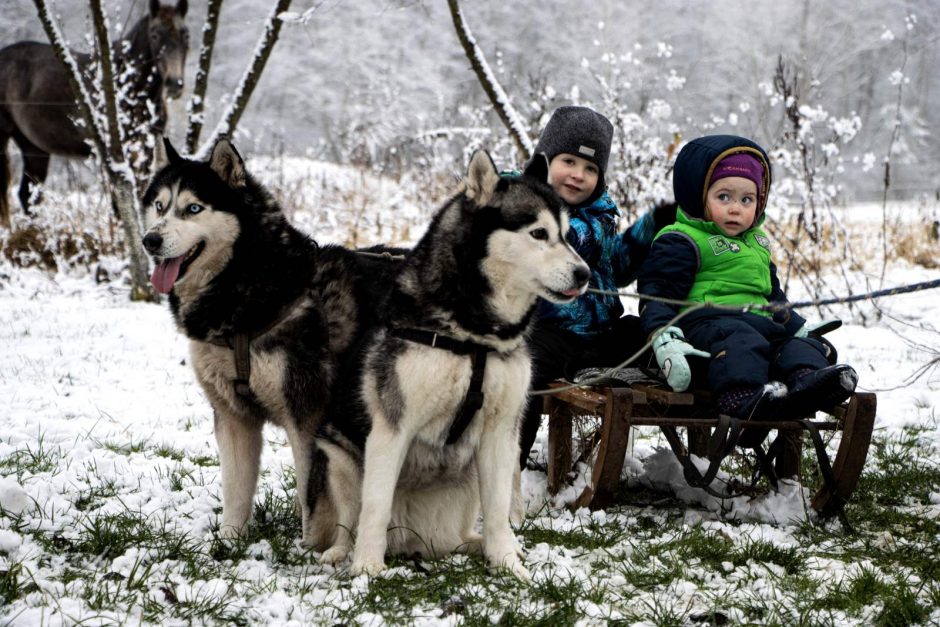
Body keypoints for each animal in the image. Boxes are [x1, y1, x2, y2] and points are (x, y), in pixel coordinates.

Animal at [0, 0, 189, 226]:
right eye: (154, 34)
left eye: (185, 34)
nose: (175, 84)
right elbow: (120, 208)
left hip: (33, 147)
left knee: (28, 196)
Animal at [140, 140, 392, 544]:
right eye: (161, 206)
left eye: (193, 208)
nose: (151, 241)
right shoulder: (233, 417)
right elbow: (235, 491)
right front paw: (228, 542)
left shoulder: (306, 419)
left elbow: (311, 496)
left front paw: (309, 549)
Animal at [312, 151, 592, 580]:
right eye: (538, 233)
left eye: (566, 235)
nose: (585, 273)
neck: (474, 335)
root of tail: (409, 540)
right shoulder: (391, 430)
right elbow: (375, 506)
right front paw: (367, 569)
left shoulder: (500, 433)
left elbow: (498, 514)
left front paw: (508, 564)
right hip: (340, 460)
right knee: (351, 522)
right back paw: (342, 553)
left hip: (467, 481)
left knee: (462, 534)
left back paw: (485, 546)